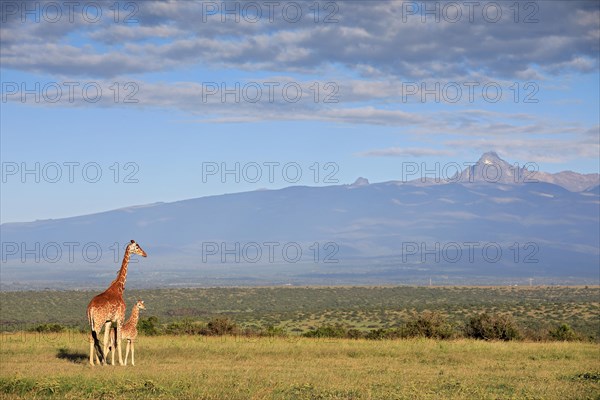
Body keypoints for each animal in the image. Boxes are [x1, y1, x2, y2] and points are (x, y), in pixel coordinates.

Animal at [86, 239, 146, 368]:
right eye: (137, 247)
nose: (145, 254)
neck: (119, 288)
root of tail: (90, 308)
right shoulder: (120, 318)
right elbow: (118, 340)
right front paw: (122, 363)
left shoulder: (109, 321)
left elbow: (106, 340)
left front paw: (105, 362)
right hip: (98, 322)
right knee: (92, 338)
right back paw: (92, 363)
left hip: (91, 322)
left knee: (95, 337)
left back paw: (98, 361)